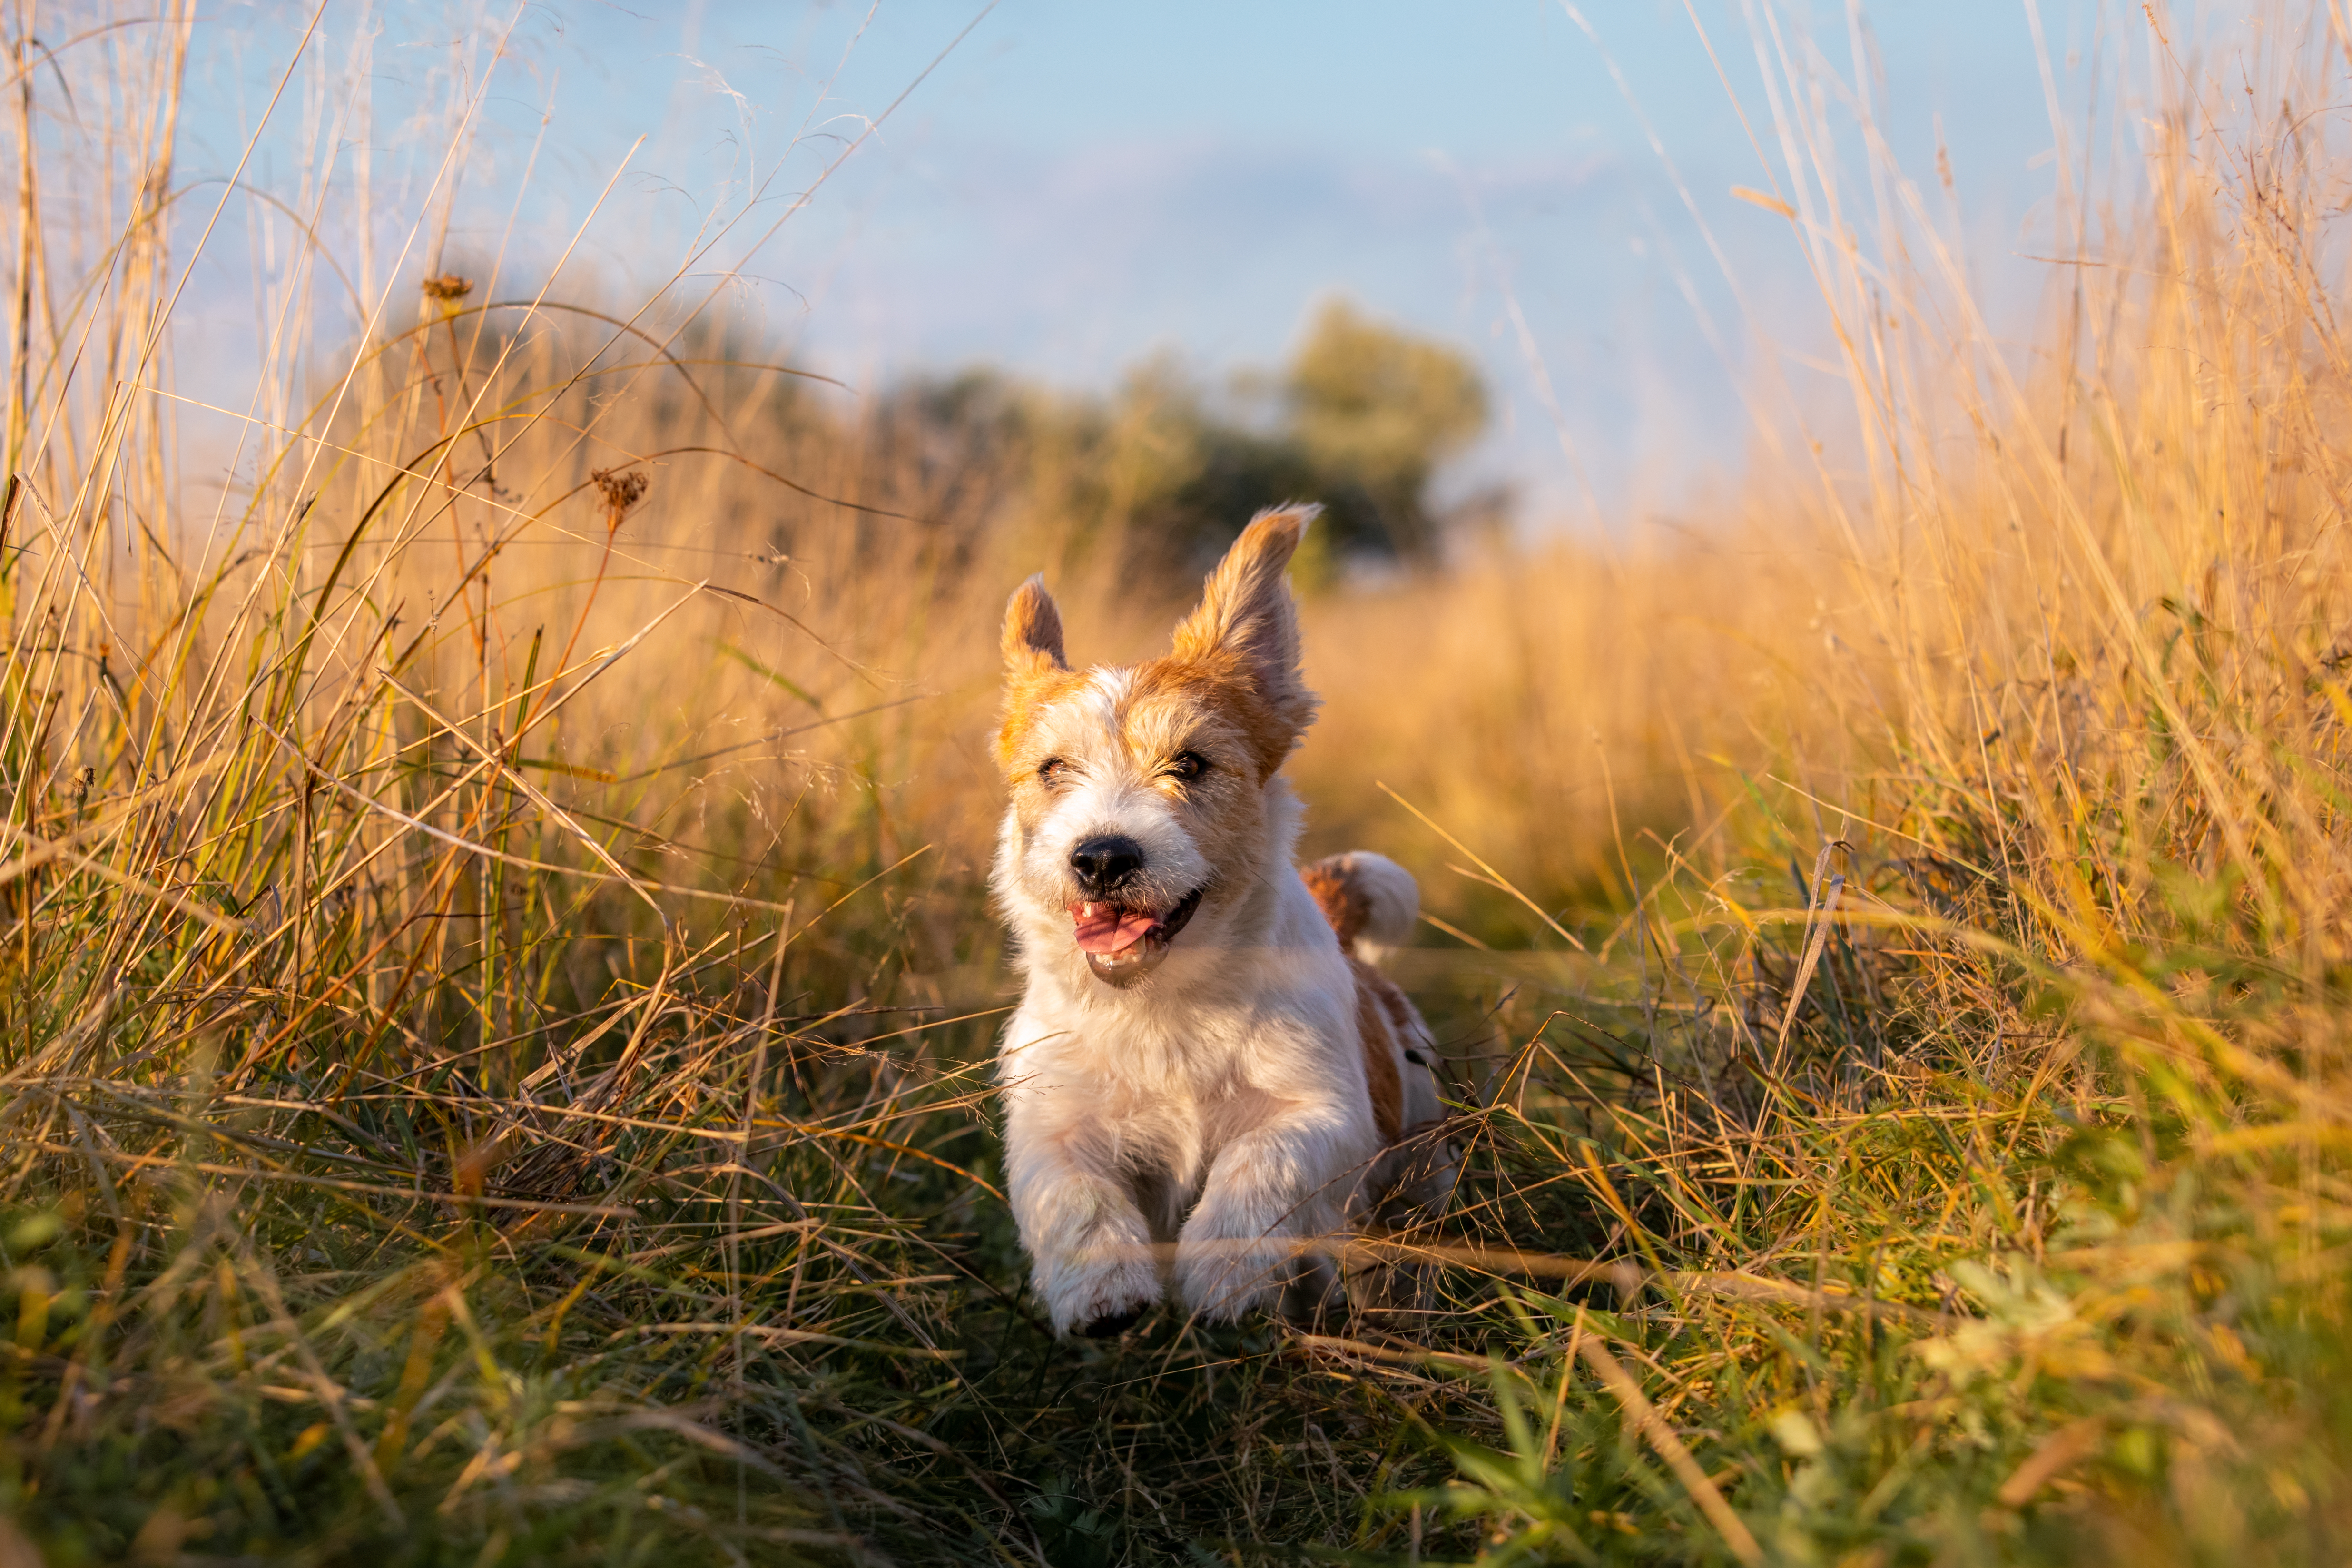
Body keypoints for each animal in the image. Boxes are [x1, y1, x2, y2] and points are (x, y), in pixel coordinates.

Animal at [988, 510, 1448, 1344]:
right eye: (1052, 769)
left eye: (1192, 763)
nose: (1101, 856)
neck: (1162, 1002)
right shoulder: (1051, 1117)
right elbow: (1069, 1189)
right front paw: (1102, 1287)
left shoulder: (1318, 1110)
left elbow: (1258, 1166)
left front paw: (1224, 1272)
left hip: (1422, 1150)